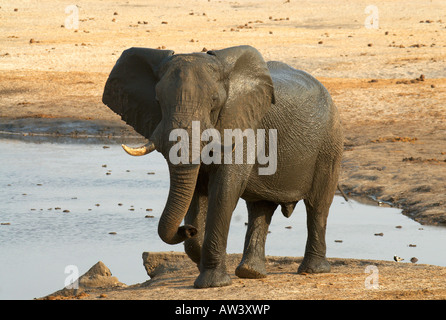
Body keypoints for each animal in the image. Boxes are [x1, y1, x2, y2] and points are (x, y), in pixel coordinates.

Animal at [103, 44, 344, 288]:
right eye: (158, 101)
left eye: (214, 101)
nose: (187, 229)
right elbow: (196, 190)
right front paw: (200, 253)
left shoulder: (244, 125)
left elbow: (224, 190)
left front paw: (212, 283)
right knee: (260, 207)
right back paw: (251, 273)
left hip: (329, 144)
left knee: (317, 205)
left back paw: (312, 270)